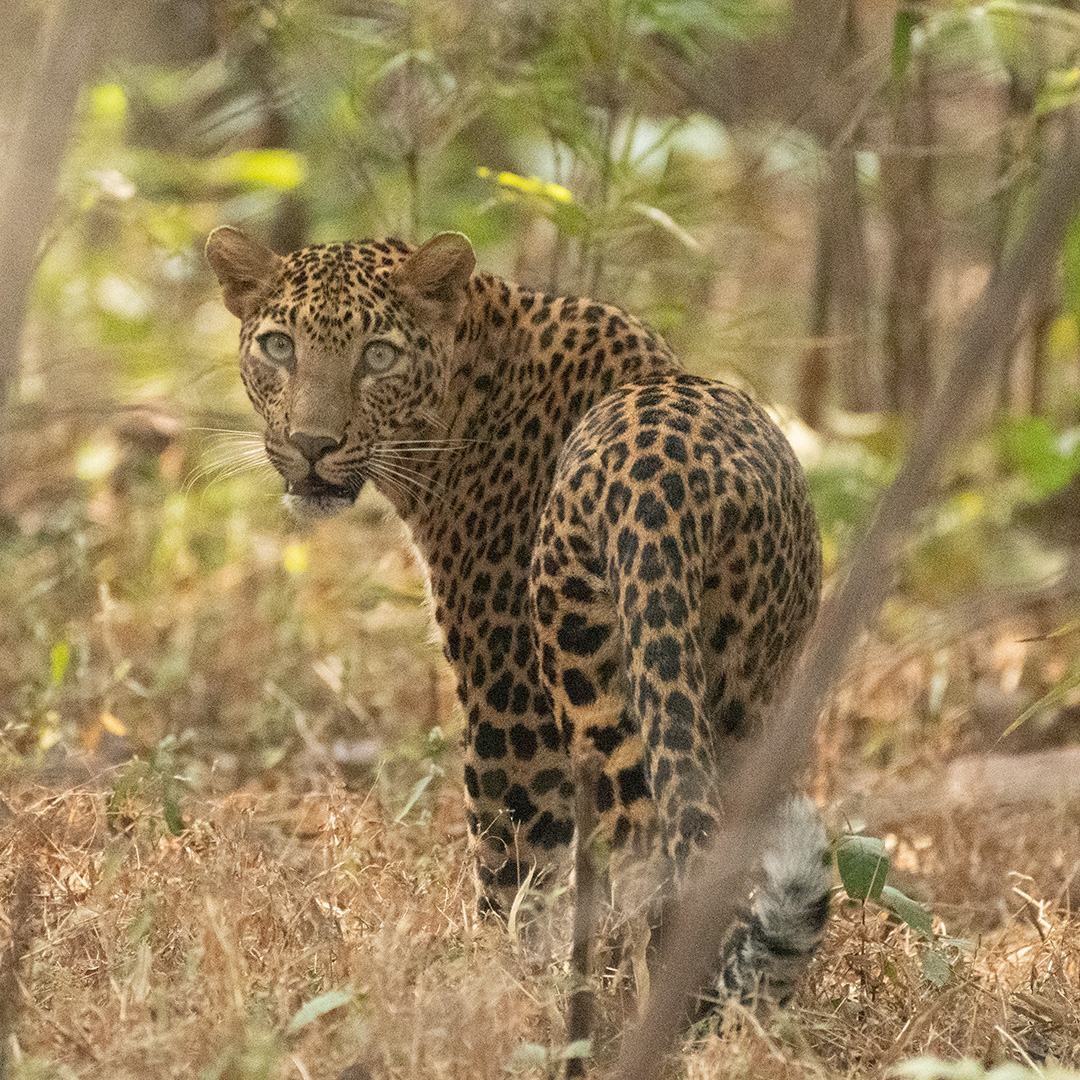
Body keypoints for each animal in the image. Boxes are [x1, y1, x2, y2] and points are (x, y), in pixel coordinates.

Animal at [206, 227, 829, 1010]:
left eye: (378, 355)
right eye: (279, 346)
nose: (312, 444)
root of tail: (678, 484)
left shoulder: (509, 701)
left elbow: (512, 873)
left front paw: (488, 987)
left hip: (588, 684)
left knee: (636, 852)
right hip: (739, 688)